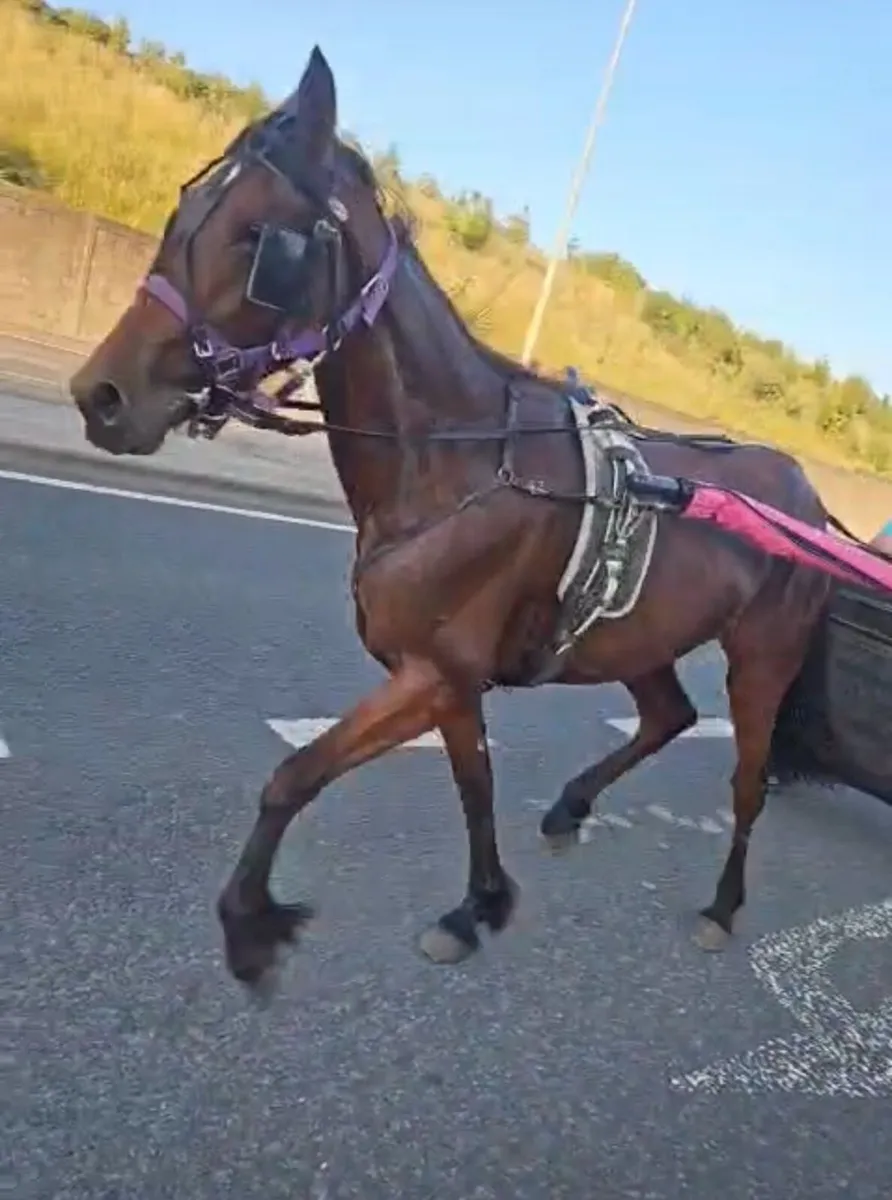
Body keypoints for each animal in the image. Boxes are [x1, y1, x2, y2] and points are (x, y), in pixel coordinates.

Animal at [69, 46, 836, 990]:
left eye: (262, 239)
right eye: (186, 207)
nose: (101, 394)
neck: (453, 462)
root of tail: (805, 499)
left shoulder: (431, 673)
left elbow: (296, 773)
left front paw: (251, 922)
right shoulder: (451, 677)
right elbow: (475, 786)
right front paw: (478, 905)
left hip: (763, 657)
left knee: (747, 777)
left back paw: (724, 905)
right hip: (637, 634)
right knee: (668, 716)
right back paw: (574, 805)